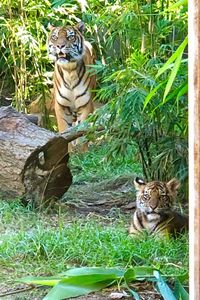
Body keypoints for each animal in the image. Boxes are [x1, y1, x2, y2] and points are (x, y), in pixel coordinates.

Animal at [47, 21, 96, 150]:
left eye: (70, 37)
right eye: (54, 37)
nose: (60, 46)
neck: (69, 71)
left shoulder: (85, 105)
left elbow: (83, 132)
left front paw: (83, 152)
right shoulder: (61, 107)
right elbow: (65, 131)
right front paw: (68, 150)